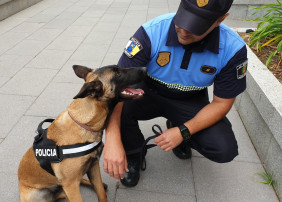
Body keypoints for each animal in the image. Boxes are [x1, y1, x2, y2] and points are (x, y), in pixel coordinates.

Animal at [17, 65, 147, 202]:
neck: (84, 123)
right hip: (41, 194)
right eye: (117, 73)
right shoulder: (71, 185)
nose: (145, 69)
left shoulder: (93, 167)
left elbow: (101, 193)